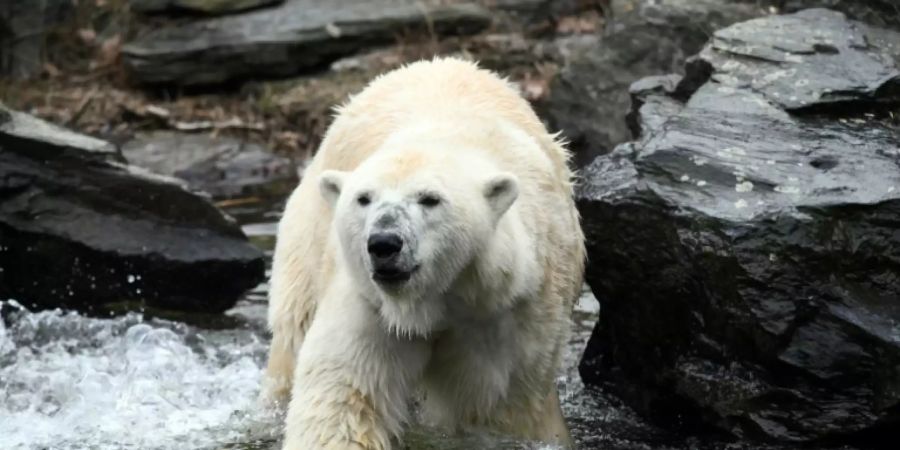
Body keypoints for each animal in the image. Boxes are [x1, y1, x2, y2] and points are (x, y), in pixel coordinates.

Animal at [262, 57, 584, 450]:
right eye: (364, 198)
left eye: (430, 199)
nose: (384, 243)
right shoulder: (370, 303)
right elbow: (344, 396)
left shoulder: (505, 316)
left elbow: (499, 410)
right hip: (308, 235)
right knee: (292, 332)